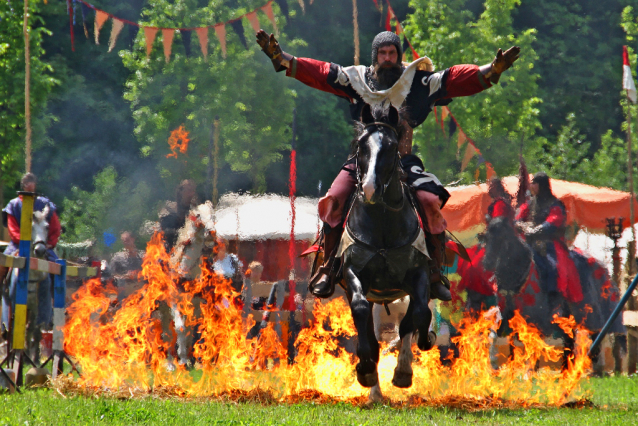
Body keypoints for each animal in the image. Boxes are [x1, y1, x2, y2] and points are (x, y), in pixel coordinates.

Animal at [340, 105, 436, 402]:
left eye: (392, 147)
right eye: (362, 145)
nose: (370, 188)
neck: (382, 222)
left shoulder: (419, 274)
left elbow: (417, 314)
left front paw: (405, 367)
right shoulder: (353, 272)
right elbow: (360, 312)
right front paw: (366, 369)